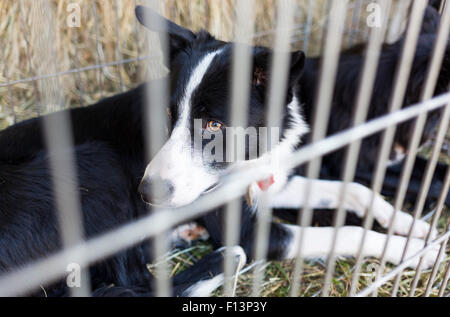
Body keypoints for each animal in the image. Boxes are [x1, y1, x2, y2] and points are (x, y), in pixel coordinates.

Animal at [0, 5, 446, 296]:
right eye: (170, 113)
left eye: (214, 124)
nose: (146, 193)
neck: (248, 159)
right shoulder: (251, 231)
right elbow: (347, 231)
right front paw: (410, 249)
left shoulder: (270, 182)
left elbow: (354, 189)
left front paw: (413, 228)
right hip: (96, 164)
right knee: (134, 284)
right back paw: (222, 260)